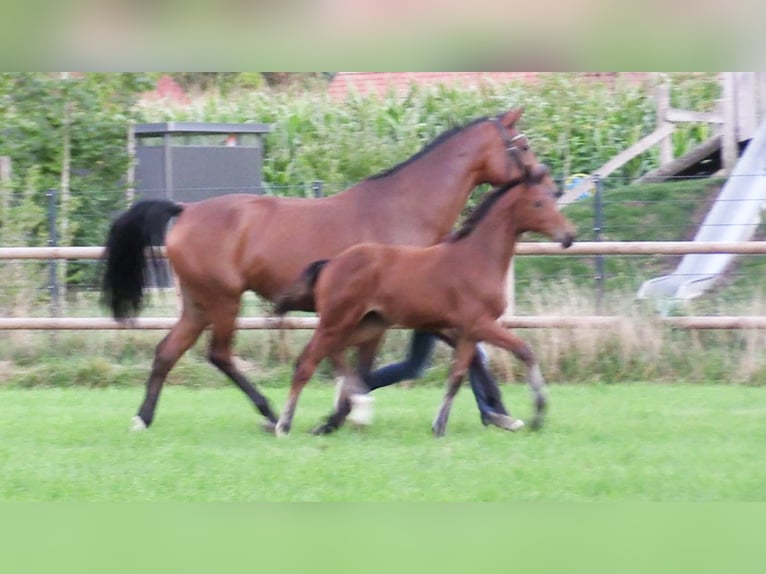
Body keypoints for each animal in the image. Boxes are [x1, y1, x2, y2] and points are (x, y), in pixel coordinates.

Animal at [101, 107, 546, 431]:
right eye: (522, 146)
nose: (545, 179)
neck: (403, 210)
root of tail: (186, 209)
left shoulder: (420, 313)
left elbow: (469, 356)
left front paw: (500, 414)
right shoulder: (399, 314)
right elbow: (374, 366)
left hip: (197, 303)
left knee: (168, 351)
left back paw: (143, 418)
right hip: (223, 301)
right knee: (219, 354)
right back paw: (270, 414)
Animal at [273, 170, 576, 437]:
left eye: (552, 198)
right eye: (538, 203)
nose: (569, 235)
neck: (477, 257)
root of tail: (330, 263)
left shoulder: (468, 332)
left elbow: (457, 377)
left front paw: (440, 426)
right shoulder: (480, 324)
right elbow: (525, 351)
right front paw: (538, 414)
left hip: (368, 325)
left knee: (331, 355)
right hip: (337, 321)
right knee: (308, 361)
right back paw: (284, 425)